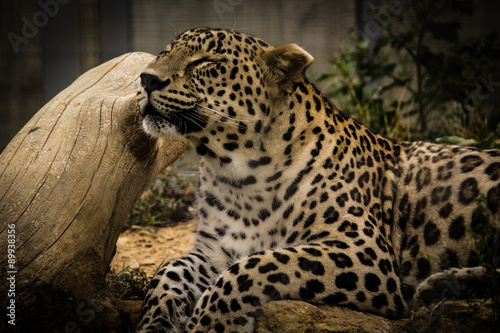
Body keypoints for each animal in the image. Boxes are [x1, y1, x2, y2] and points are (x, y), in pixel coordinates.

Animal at [134, 27, 500, 330]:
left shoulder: (362, 251)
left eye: (206, 62)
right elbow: (168, 271)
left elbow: (257, 266)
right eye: (164, 53)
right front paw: (155, 322)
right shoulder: (215, 253)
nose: (146, 79)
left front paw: (206, 323)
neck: (235, 176)